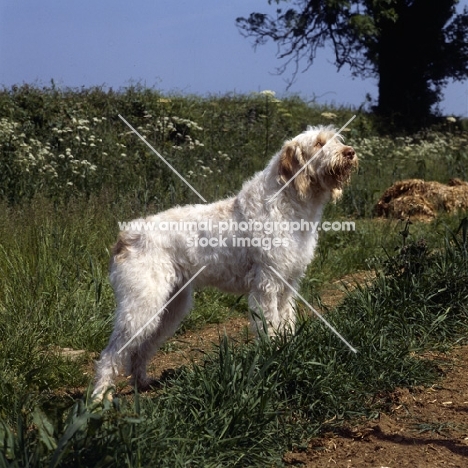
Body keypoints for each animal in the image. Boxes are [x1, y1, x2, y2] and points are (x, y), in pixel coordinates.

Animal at [94, 125, 358, 398]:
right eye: (318, 144)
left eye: (336, 140)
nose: (350, 152)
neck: (288, 202)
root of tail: (126, 236)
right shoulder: (267, 286)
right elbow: (270, 325)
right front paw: (274, 354)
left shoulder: (288, 285)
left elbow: (286, 322)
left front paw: (288, 349)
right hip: (141, 305)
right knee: (111, 353)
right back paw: (100, 396)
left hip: (170, 306)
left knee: (140, 350)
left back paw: (142, 382)